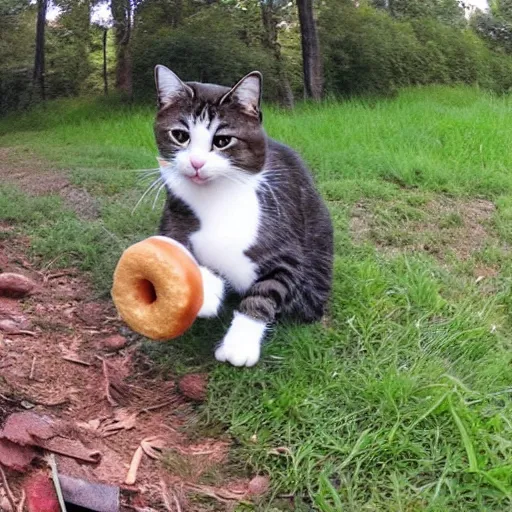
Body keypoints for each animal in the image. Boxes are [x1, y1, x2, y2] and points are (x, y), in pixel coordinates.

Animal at [154, 65, 334, 368]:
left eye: (222, 140)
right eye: (180, 135)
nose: (196, 163)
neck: (216, 196)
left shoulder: (285, 245)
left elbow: (265, 291)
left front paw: (239, 345)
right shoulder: (174, 213)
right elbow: (172, 245)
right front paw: (207, 290)